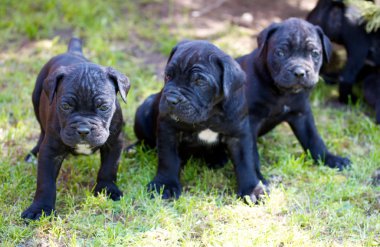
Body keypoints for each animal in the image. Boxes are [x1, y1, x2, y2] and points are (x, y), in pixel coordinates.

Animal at [21, 37, 131, 220]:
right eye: (65, 106)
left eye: (103, 107)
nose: (83, 129)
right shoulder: (50, 151)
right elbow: (45, 182)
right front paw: (40, 209)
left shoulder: (114, 143)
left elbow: (109, 168)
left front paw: (108, 190)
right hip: (36, 99)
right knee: (41, 131)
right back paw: (34, 152)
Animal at [135, 40, 266, 202]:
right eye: (168, 76)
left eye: (200, 82)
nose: (171, 99)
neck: (209, 116)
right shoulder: (168, 129)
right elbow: (168, 159)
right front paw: (165, 185)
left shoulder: (239, 135)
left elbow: (246, 162)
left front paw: (253, 189)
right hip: (143, 112)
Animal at [236, 18, 352, 174]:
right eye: (280, 53)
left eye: (315, 53)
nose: (299, 72)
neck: (282, 93)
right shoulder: (250, 120)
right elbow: (251, 151)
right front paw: (256, 176)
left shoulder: (301, 114)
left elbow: (314, 139)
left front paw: (330, 159)